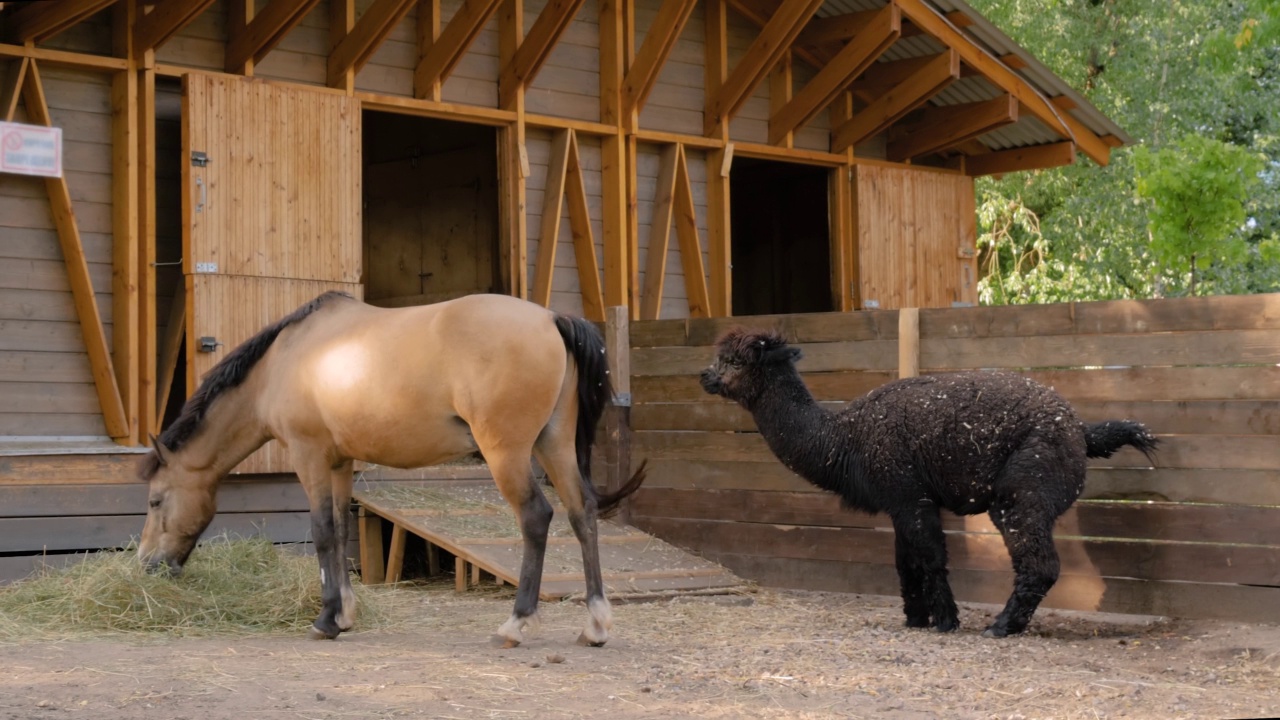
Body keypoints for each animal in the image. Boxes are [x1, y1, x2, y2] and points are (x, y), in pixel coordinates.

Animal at [137, 292, 650, 645]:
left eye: (156, 500)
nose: (146, 565)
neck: (286, 361)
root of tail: (550, 318)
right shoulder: (340, 463)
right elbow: (341, 530)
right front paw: (344, 614)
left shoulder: (310, 457)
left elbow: (322, 531)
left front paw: (325, 620)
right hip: (554, 445)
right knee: (582, 514)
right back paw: (596, 624)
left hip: (508, 454)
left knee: (536, 518)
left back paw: (516, 623)